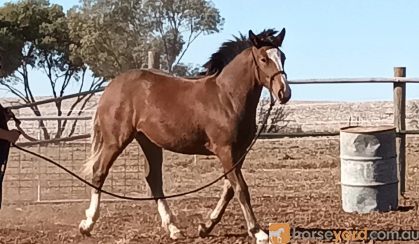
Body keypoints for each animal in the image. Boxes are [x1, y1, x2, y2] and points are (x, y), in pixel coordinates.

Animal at [79, 27, 292, 243]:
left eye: (283, 57)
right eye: (264, 59)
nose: (284, 93)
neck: (227, 98)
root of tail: (112, 86)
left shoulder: (239, 152)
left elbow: (229, 189)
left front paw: (205, 227)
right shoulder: (225, 150)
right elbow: (241, 189)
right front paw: (257, 232)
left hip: (149, 142)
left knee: (153, 179)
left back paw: (173, 228)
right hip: (116, 140)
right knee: (99, 171)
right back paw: (87, 224)